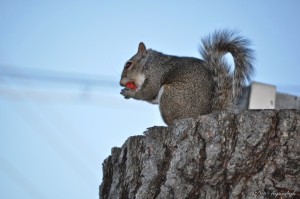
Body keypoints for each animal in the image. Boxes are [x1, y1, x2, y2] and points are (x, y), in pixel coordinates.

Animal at [120, 29, 255, 126]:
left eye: (128, 64)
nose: (121, 83)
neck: (149, 63)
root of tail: (206, 113)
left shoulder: (155, 74)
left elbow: (147, 92)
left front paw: (129, 93)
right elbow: (151, 97)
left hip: (171, 96)